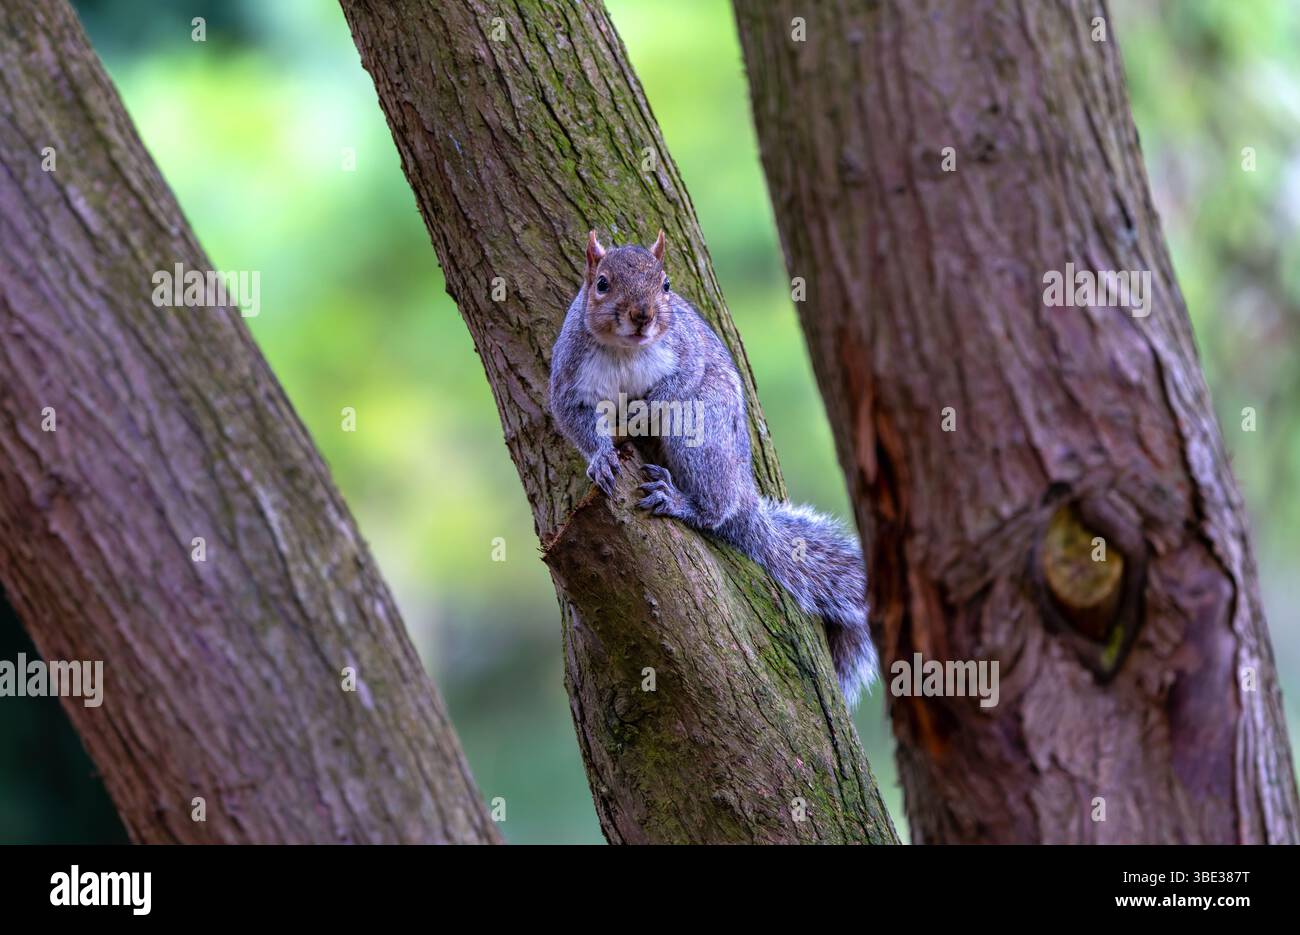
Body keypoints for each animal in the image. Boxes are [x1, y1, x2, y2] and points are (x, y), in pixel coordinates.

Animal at [548, 230, 878, 706]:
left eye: (666, 284)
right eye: (603, 284)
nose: (643, 316)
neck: (625, 350)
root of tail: (744, 490)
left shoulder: (687, 355)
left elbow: (677, 384)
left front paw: (642, 410)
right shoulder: (569, 379)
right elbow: (574, 418)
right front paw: (601, 458)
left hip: (703, 430)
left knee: (716, 509)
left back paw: (681, 501)